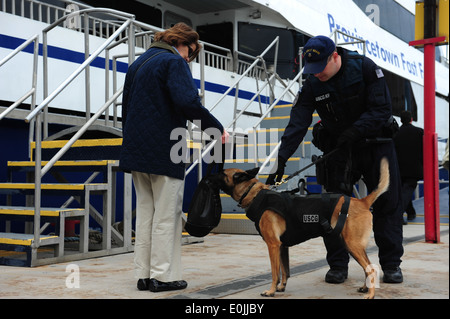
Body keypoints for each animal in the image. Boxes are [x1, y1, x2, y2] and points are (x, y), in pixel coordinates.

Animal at [215, 159, 390, 298]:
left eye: (222, 173)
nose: (211, 175)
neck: (255, 194)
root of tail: (362, 202)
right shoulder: (282, 247)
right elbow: (285, 270)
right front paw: (281, 287)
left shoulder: (273, 245)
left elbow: (275, 272)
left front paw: (271, 291)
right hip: (351, 245)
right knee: (368, 267)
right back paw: (365, 288)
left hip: (352, 245)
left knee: (371, 270)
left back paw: (370, 295)